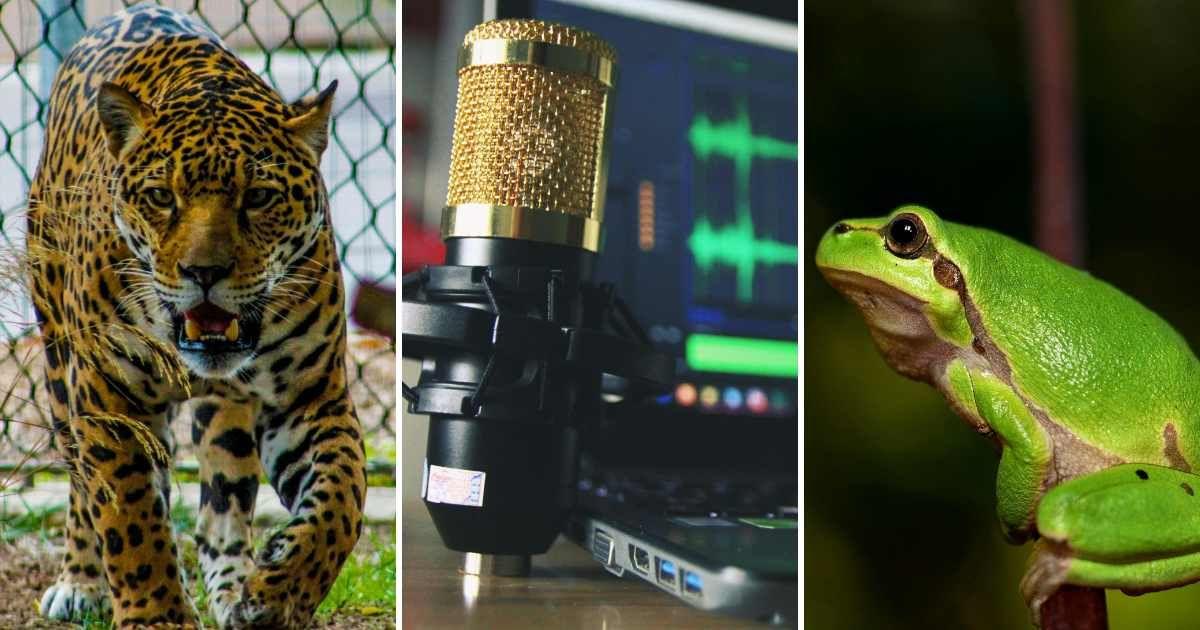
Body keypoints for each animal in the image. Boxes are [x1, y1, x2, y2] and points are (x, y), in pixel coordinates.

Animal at [25, 3, 367, 628]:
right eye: (162, 197)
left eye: (258, 197)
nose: (203, 272)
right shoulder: (109, 397)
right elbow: (130, 517)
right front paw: (155, 613)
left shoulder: (310, 397)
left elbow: (342, 498)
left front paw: (279, 589)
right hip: (62, 370)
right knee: (84, 487)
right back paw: (80, 582)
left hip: (225, 416)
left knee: (222, 505)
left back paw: (233, 590)